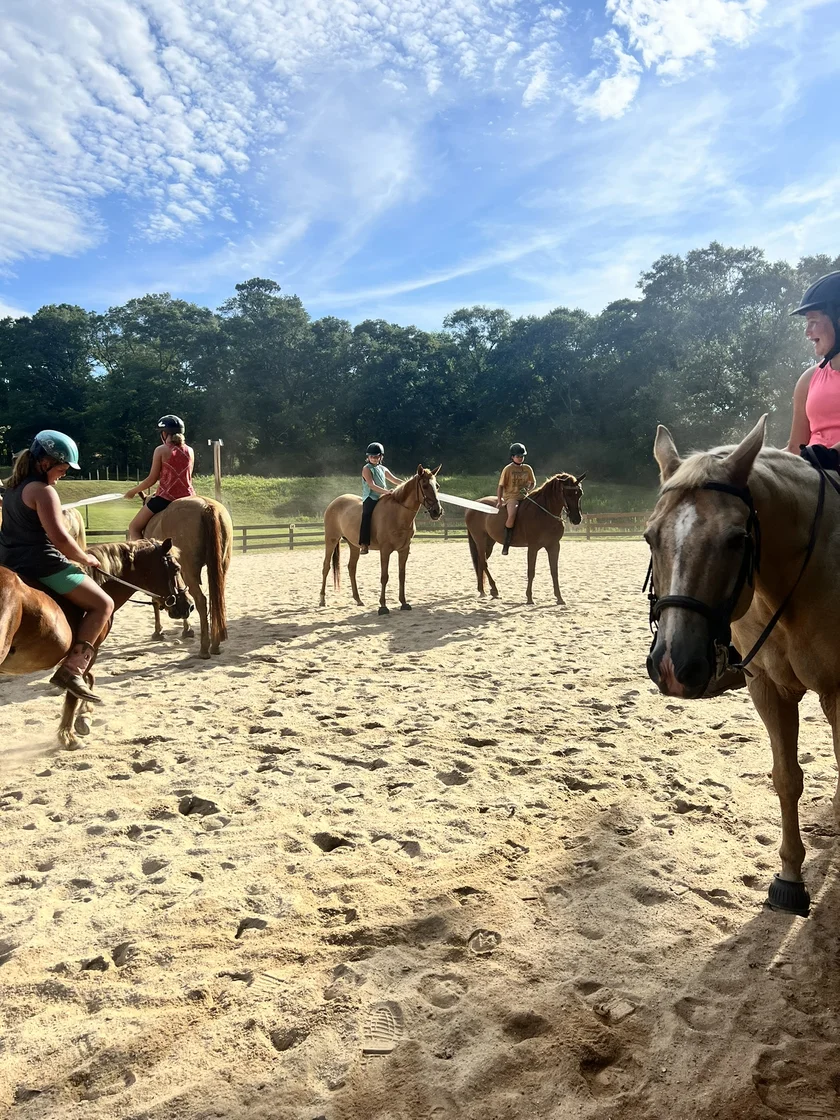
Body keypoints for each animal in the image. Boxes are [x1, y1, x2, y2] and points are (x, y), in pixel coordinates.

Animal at [0, 538, 193, 746]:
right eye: (176, 568)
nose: (189, 605)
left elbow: (87, 679)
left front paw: (84, 716)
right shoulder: (92, 649)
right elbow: (76, 688)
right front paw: (69, 735)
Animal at [140, 495, 232, 658]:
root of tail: (207, 506)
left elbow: (157, 600)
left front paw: (158, 632)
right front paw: (186, 629)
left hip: (191, 572)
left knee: (201, 601)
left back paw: (204, 648)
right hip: (221, 569)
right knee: (216, 601)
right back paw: (215, 645)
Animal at [320, 465, 443, 615]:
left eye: (437, 486)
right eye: (424, 486)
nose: (437, 511)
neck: (398, 514)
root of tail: (334, 502)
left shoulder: (404, 550)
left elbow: (402, 576)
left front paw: (404, 603)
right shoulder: (385, 550)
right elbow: (384, 577)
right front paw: (383, 606)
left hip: (353, 545)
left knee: (351, 568)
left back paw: (358, 600)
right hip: (331, 540)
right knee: (326, 566)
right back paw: (322, 600)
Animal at [464, 472, 586, 605]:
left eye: (579, 493)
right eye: (567, 493)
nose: (576, 519)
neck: (544, 513)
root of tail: (473, 505)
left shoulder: (554, 546)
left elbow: (554, 572)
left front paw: (559, 598)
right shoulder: (533, 547)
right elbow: (531, 572)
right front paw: (529, 598)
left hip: (489, 543)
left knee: (481, 563)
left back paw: (482, 590)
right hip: (480, 540)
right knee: (483, 562)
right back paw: (493, 589)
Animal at [645, 415, 840, 917]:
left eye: (738, 539)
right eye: (650, 536)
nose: (672, 665)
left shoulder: (839, 694)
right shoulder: (767, 688)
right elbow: (786, 779)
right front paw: (790, 879)